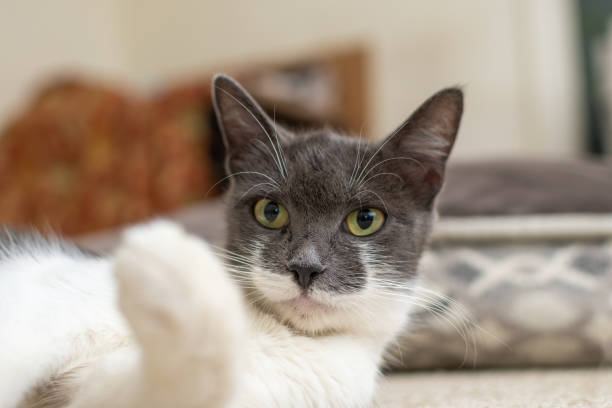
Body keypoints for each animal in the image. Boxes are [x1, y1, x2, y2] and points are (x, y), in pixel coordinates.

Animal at [0, 74, 460, 408]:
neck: (283, 336)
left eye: (365, 220)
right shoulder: (49, 295)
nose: (305, 267)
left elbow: (179, 383)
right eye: (270, 211)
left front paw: (167, 269)